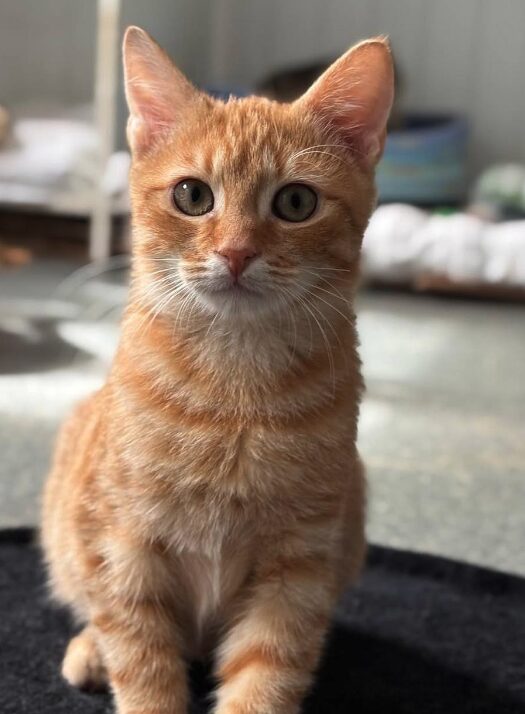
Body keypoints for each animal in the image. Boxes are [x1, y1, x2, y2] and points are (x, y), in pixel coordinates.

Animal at [41, 25, 390, 712]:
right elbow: (141, 663)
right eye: (192, 195)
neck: (234, 389)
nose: (235, 252)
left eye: (297, 201)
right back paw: (89, 650)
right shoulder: (123, 548)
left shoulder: (297, 570)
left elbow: (265, 675)